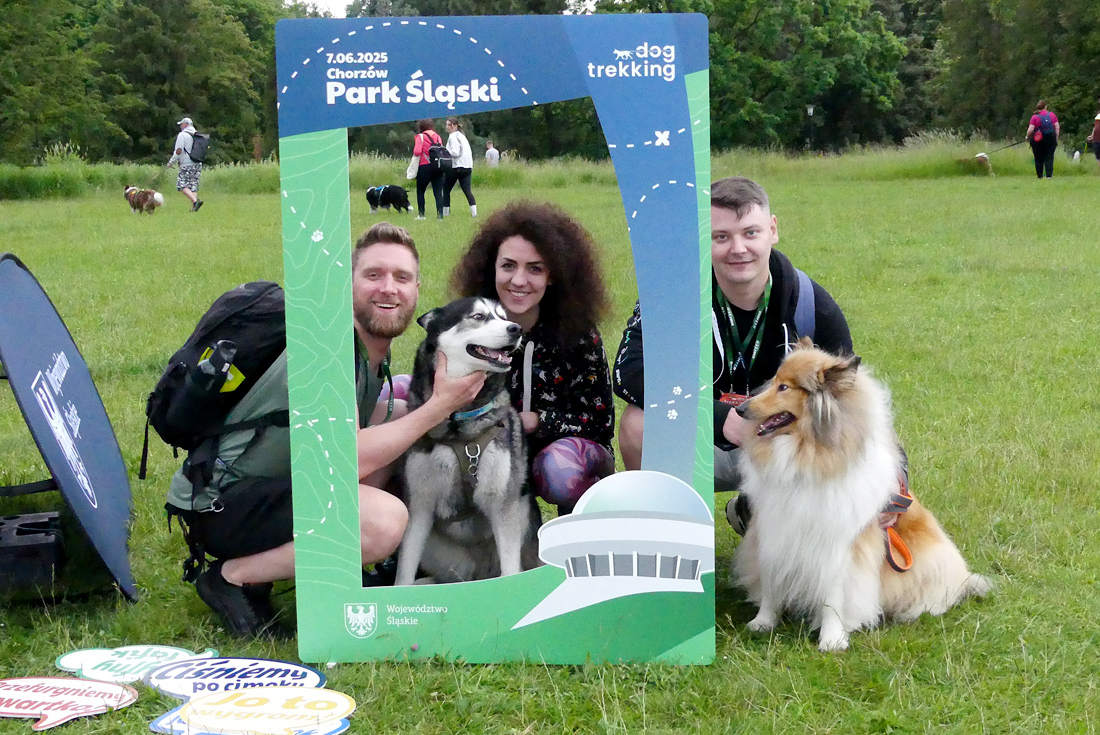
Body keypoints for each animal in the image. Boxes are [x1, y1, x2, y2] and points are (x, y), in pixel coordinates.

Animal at [396, 297, 541, 585]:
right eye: (478, 316)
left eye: (503, 316)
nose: (516, 329)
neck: (458, 425)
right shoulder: (418, 506)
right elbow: (404, 573)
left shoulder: (503, 506)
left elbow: (511, 570)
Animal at [732, 338, 991, 651]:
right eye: (773, 381)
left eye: (785, 387)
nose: (740, 409)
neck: (807, 451)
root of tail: (964, 578)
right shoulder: (773, 532)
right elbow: (771, 582)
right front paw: (763, 622)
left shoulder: (838, 545)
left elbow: (833, 595)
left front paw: (832, 639)